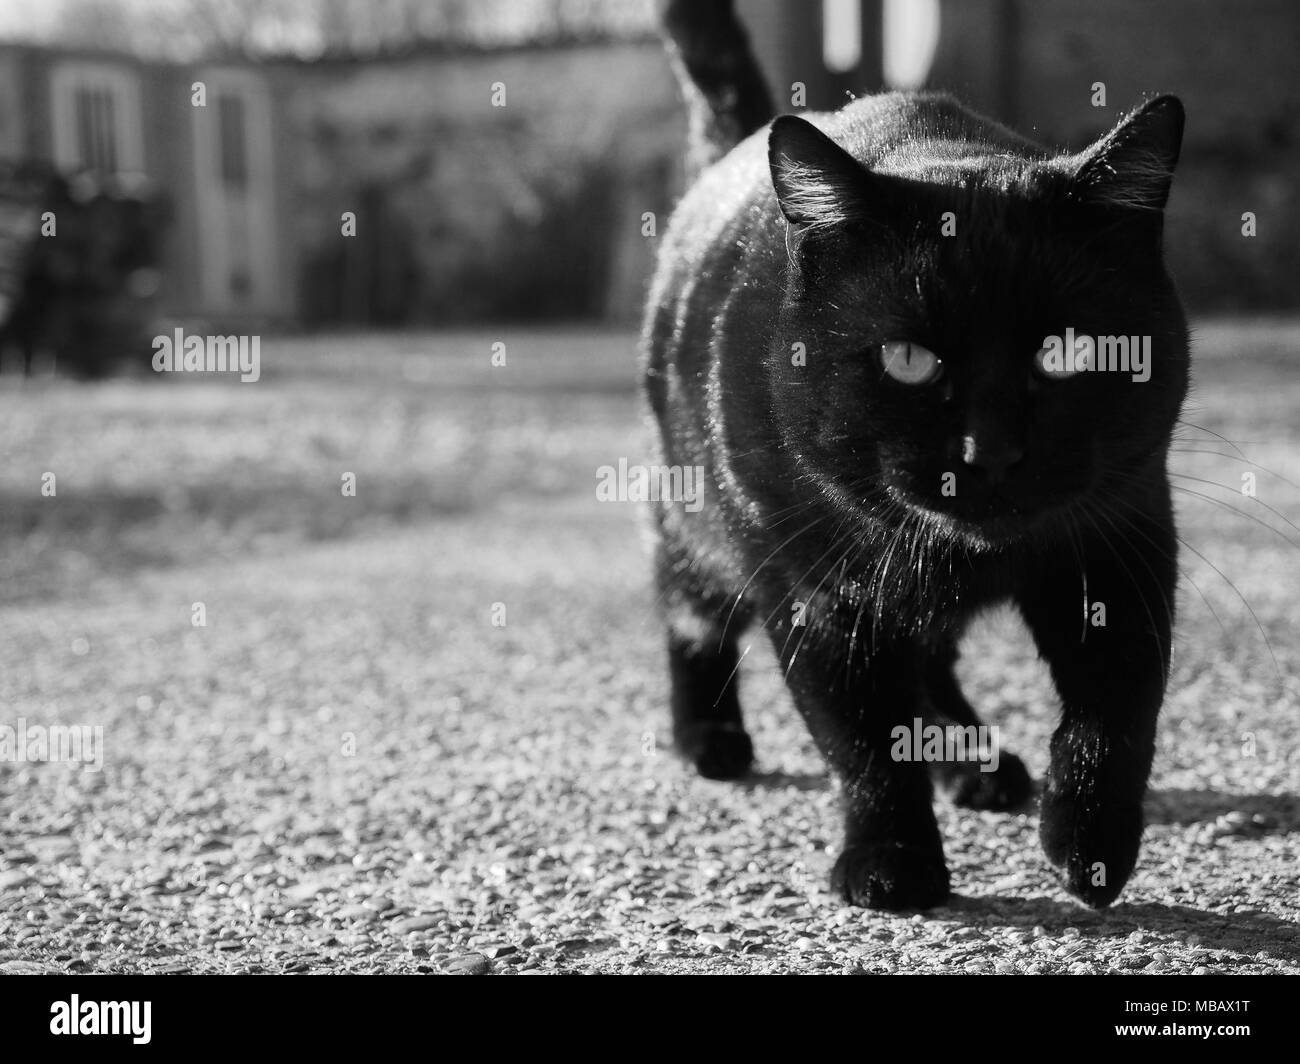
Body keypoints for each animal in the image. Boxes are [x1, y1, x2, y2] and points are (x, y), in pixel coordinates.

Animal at [644, 2, 1185, 910]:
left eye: (1068, 351)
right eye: (907, 360)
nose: (990, 451)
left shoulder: (1127, 533)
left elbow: (1119, 703)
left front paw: (1090, 842)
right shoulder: (813, 587)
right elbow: (860, 739)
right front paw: (893, 862)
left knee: (930, 656)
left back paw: (976, 764)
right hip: (697, 518)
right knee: (691, 614)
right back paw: (710, 737)